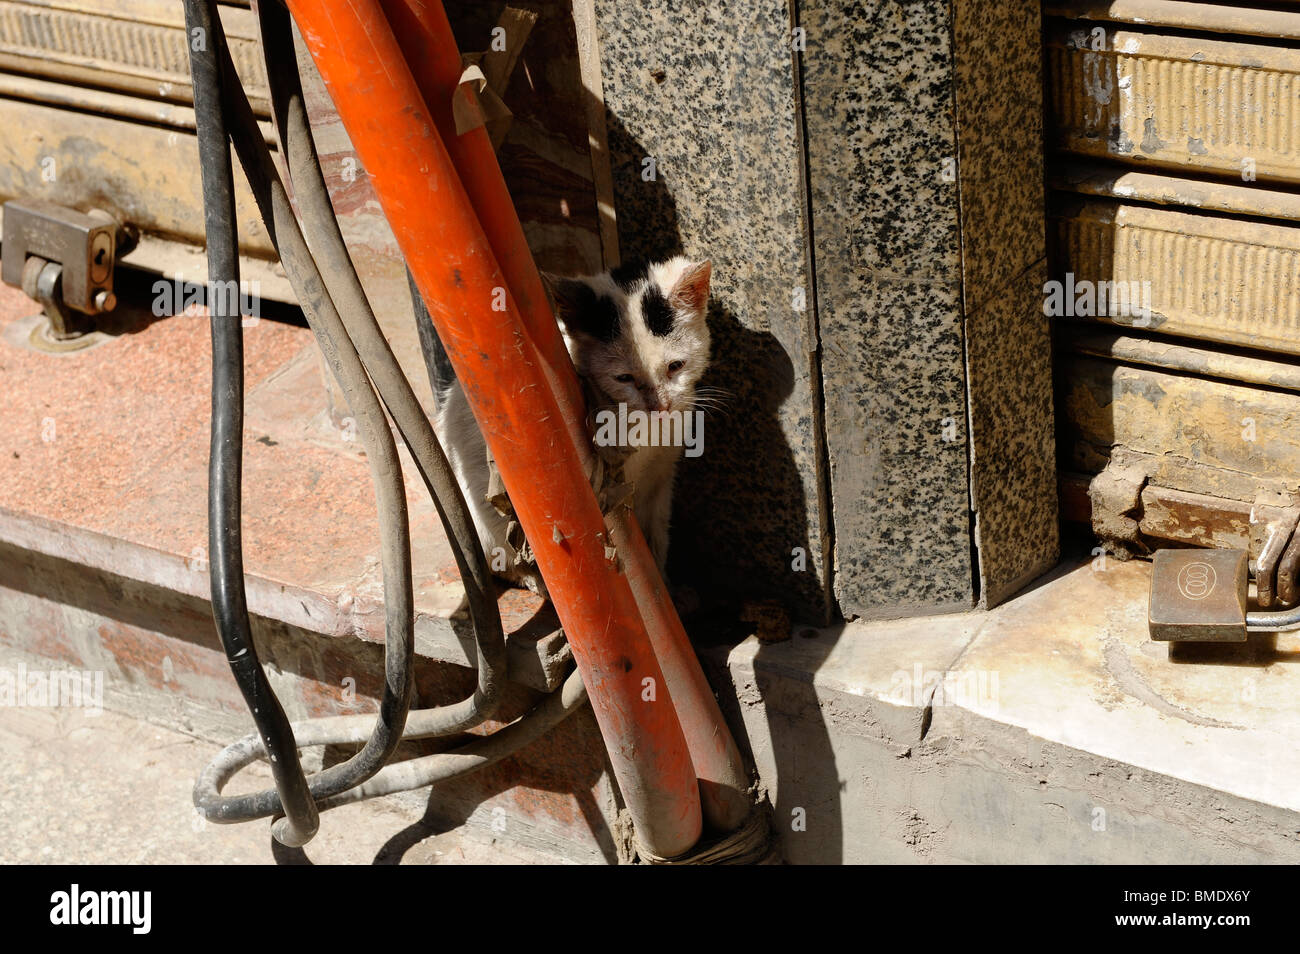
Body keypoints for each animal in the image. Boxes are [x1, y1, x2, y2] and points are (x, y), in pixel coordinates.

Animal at [439, 257, 717, 595]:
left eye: (676, 366)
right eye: (624, 378)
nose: (660, 407)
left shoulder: (661, 476)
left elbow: (657, 535)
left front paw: (663, 586)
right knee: (503, 558)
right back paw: (533, 579)